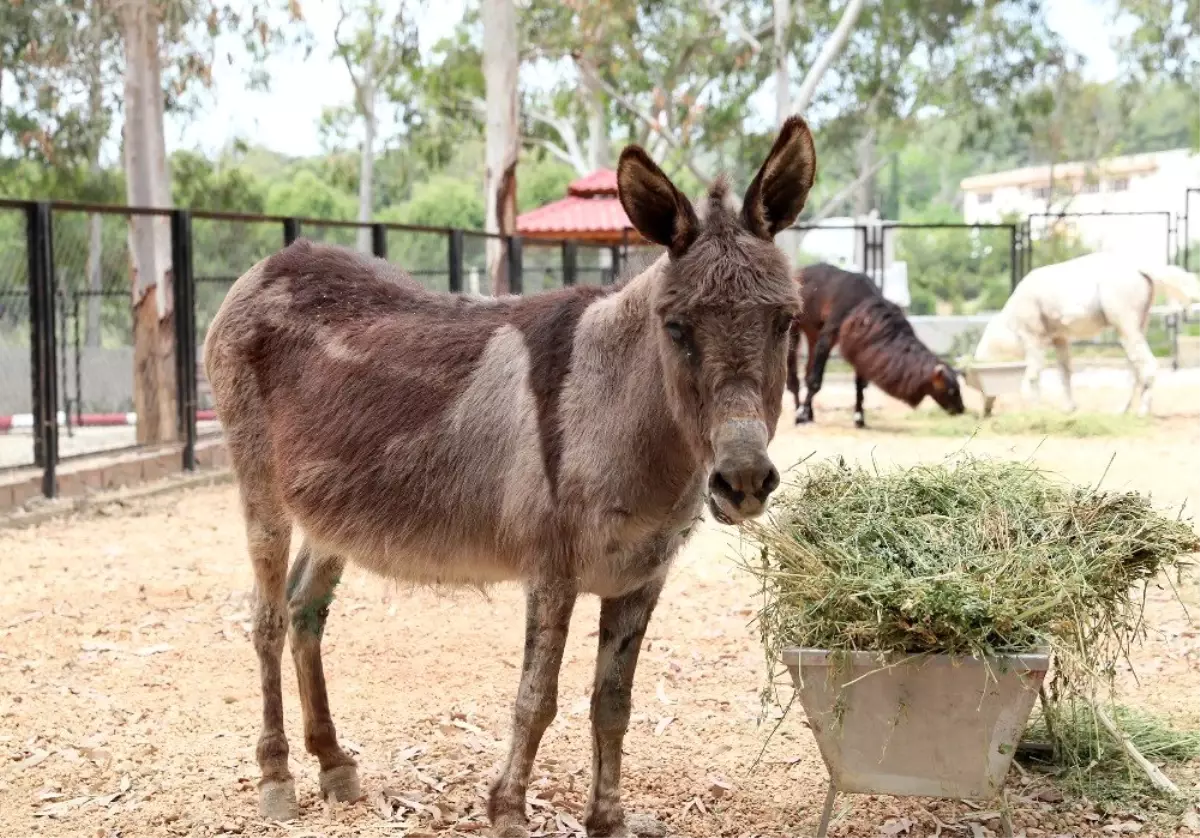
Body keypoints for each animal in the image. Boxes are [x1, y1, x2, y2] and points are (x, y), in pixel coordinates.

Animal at [974, 249, 1200, 415]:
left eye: (979, 386)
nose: (986, 410)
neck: (1010, 323)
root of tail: (1140, 268)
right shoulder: (1060, 338)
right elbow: (1064, 372)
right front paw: (1068, 408)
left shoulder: (1034, 338)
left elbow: (1033, 374)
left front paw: (1034, 410)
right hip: (1136, 326)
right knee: (1135, 368)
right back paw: (1122, 410)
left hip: (1125, 324)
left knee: (1148, 365)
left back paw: (1142, 412)